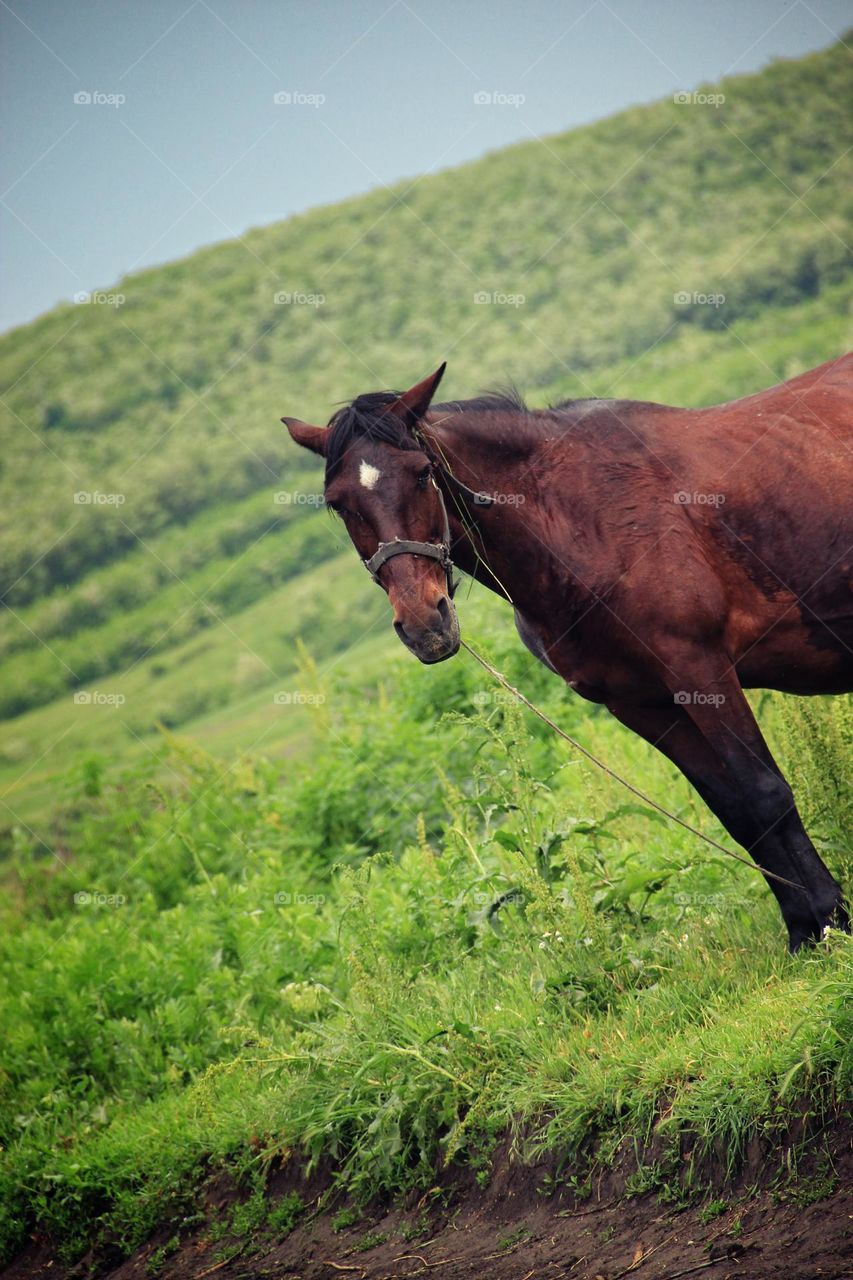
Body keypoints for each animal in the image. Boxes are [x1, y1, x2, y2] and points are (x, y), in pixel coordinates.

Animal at [283, 355, 853, 951]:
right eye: (338, 503)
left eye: (421, 473)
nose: (423, 622)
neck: (580, 522)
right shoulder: (643, 705)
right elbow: (737, 811)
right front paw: (803, 926)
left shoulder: (700, 670)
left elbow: (764, 794)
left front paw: (830, 921)